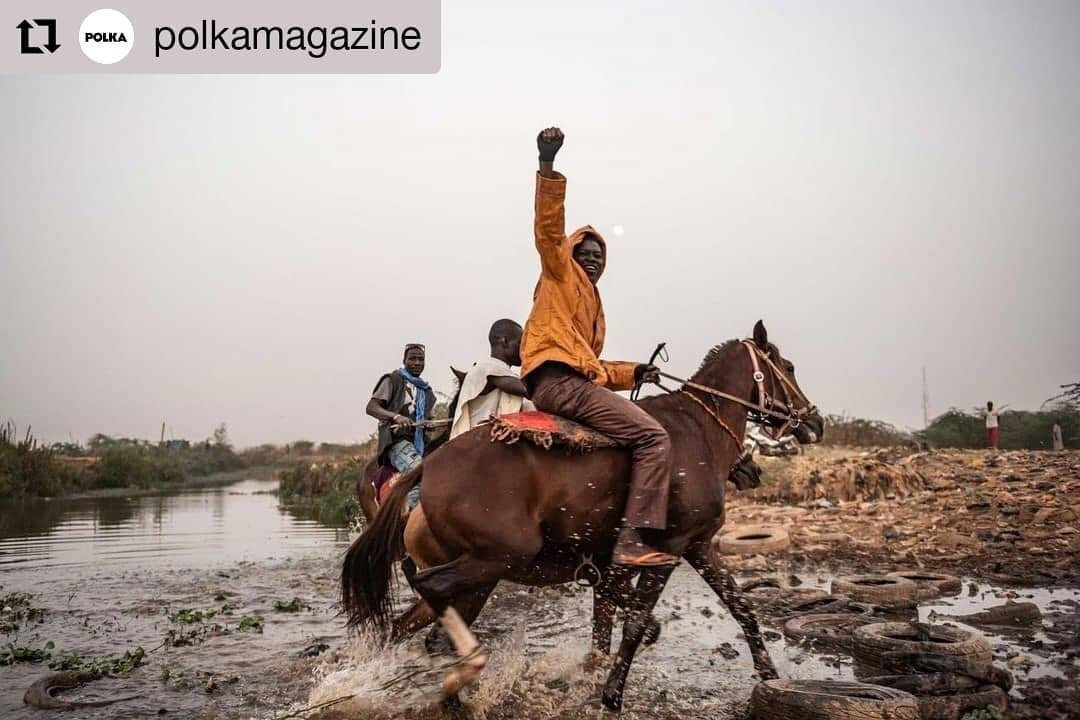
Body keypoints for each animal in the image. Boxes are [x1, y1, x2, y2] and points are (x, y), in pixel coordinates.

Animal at [341, 323, 820, 712]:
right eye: (789, 367)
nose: (814, 423)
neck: (699, 433)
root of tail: (430, 467)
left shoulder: (696, 546)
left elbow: (740, 609)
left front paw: (769, 675)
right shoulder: (665, 549)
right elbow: (636, 623)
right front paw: (611, 694)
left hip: (479, 577)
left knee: (409, 622)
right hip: (497, 560)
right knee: (427, 589)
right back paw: (463, 672)